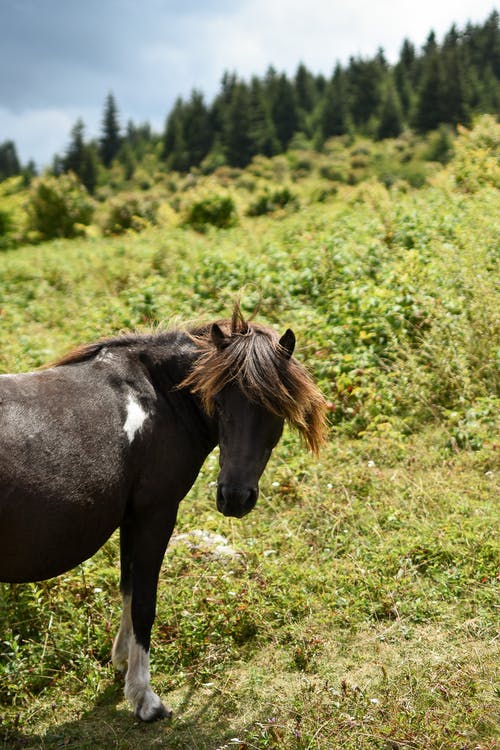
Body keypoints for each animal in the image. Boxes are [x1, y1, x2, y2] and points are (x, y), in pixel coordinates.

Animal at [0, 304, 326, 724]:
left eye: (272, 408)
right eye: (219, 403)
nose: (234, 497)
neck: (154, 396)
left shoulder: (132, 517)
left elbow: (128, 588)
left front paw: (123, 662)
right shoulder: (156, 513)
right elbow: (143, 603)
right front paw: (145, 699)